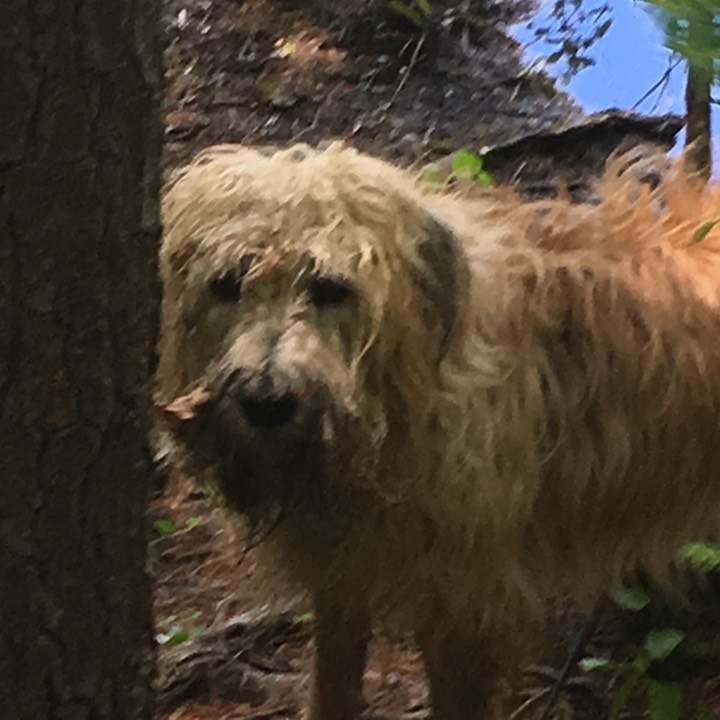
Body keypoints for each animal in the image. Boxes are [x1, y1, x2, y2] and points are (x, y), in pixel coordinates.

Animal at [155, 143, 720, 720]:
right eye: (226, 284)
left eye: (331, 288)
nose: (266, 402)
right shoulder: (344, 576)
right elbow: (333, 681)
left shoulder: (462, 599)